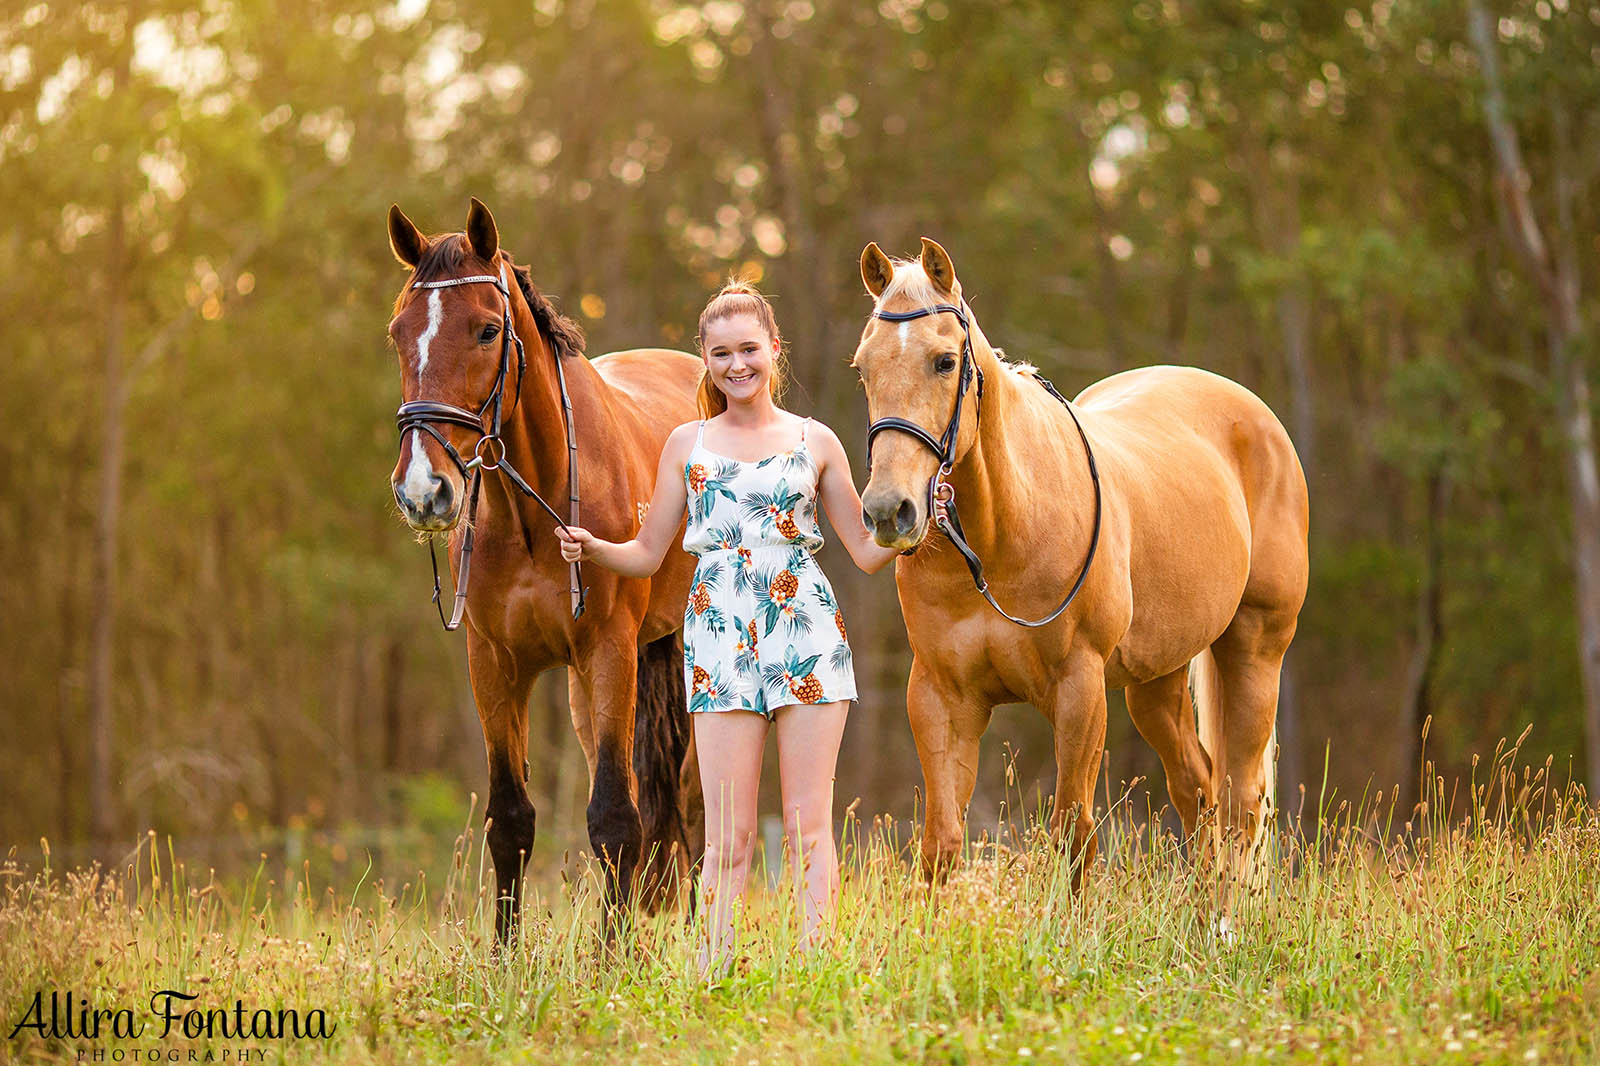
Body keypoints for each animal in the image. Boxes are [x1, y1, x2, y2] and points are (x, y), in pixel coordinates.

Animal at [384, 199, 704, 941]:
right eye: (397, 334)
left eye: (486, 329)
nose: (422, 490)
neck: (532, 515)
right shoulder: (494, 663)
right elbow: (510, 822)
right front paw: (506, 956)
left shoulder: (609, 651)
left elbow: (615, 818)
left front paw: (614, 958)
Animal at [857, 236, 1305, 883]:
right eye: (863, 367)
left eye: (943, 362)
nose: (889, 511)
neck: (999, 539)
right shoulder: (940, 695)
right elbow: (941, 844)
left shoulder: (1079, 688)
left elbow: (1074, 833)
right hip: (1156, 679)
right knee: (1197, 793)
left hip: (1256, 646)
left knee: (1242, 808)